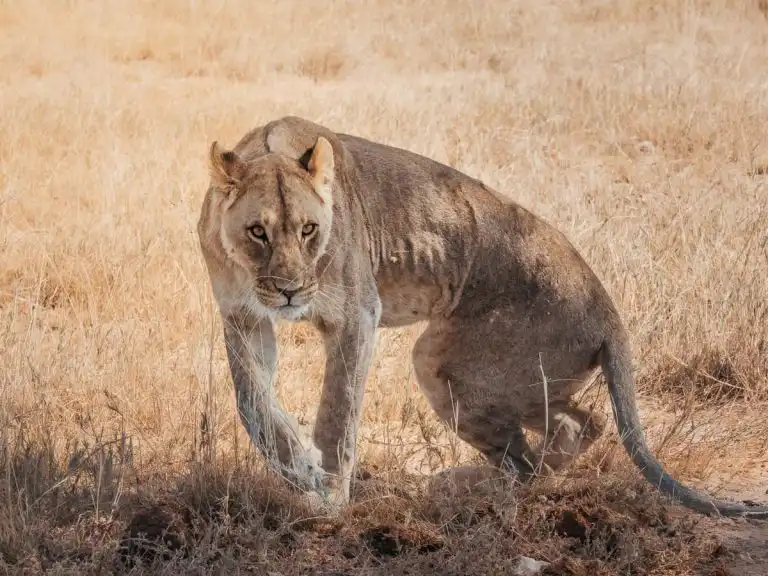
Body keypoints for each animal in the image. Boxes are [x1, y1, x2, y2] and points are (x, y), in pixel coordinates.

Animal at [196, 115, 767, 518]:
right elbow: (252, 403)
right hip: (508, 380)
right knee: (580, 424)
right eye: (258, 232)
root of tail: (608, 309)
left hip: (443, 365)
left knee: (531, 457)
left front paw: (329, 494)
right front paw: (297, 464)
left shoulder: (357, 314)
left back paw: (454, 485)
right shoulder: (242, 318)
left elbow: (338, 413)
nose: (291, 292)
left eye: (310, 230)